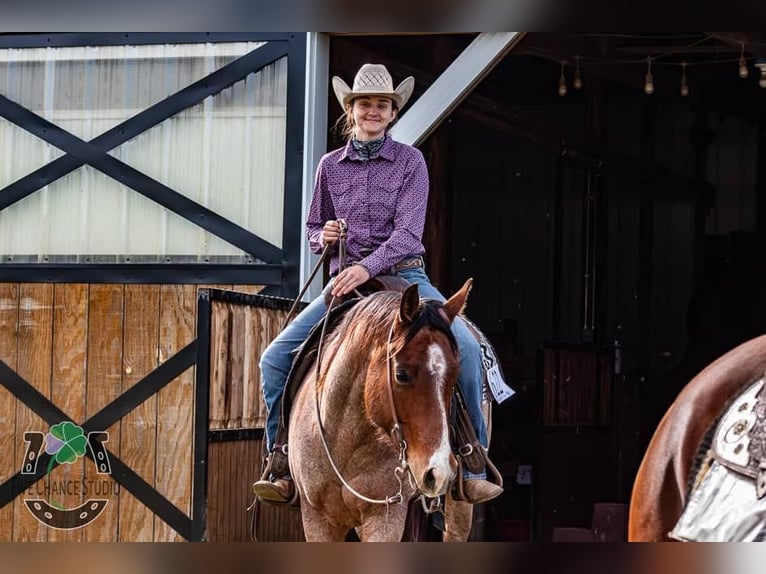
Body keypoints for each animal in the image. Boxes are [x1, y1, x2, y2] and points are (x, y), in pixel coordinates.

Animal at [288, 282, 476, 544]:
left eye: (455, 375)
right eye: (401, 374)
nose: (438, 472)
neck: (344, 442)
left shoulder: (385, 516)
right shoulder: (316, 517)